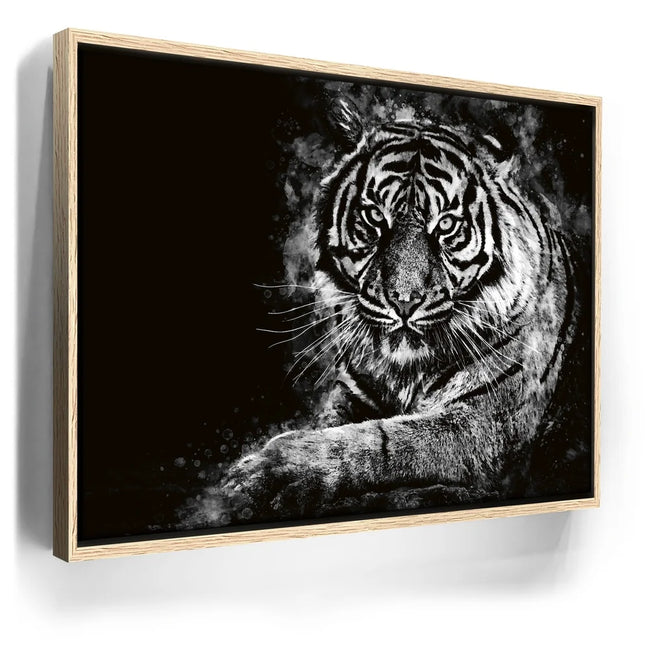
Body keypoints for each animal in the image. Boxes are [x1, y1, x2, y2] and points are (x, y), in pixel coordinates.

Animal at [213, 96, 591, 524]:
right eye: (376, 216)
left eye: (446, 225)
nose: (404, 301)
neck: (405, 370)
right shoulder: (354, 392)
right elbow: (337, 426)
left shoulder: (486, 423)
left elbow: (381, 440)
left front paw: (267, 472)